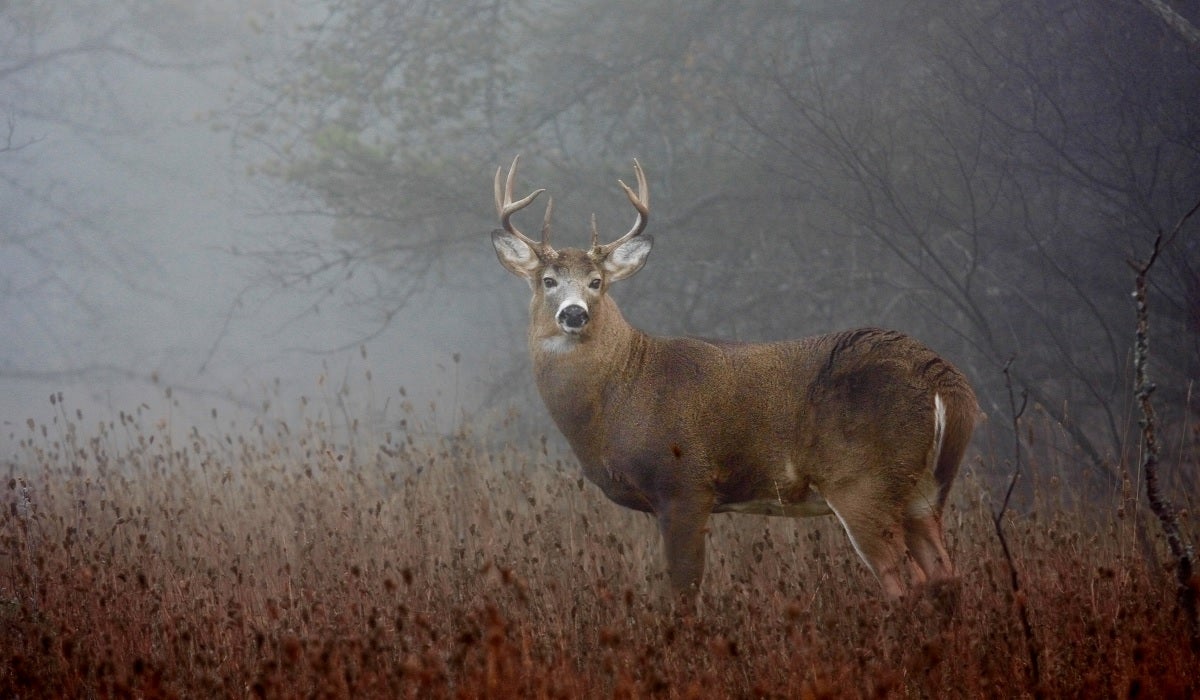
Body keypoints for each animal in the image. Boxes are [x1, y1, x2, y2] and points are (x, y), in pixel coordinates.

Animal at [492, 156, 979, 605]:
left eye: (597, 281)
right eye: (547, 280)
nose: (574, 313)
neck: (621, 391)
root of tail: (946, 382)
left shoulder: (685, 483)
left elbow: (683, 591)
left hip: (862, 481)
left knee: (905, 583)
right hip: (923, 491)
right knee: (945, 576)